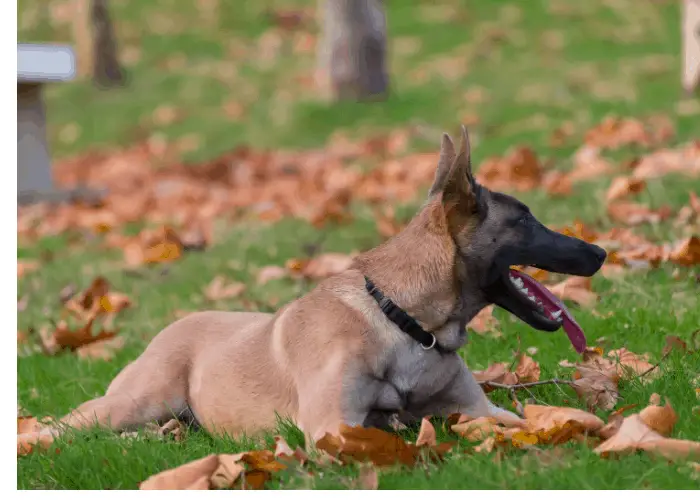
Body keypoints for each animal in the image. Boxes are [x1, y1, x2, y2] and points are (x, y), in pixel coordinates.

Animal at [19, 124, 604, 450]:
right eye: (524, 220)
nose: (599, 253)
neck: (405, 321)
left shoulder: (482, 409)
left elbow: (519, 419)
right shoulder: (331, 424)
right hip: (135, 399)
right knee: (69, 425)